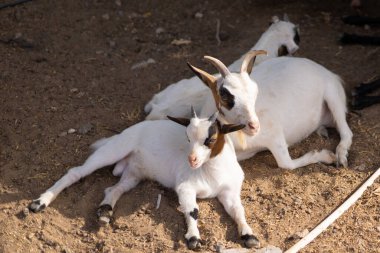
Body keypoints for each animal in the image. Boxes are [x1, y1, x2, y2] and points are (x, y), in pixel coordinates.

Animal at [29, 110, 260, 249]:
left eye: (210, 139)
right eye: (187, 138)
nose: (191, 159)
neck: (212, 174)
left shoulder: (230, 191)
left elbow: (239, 211)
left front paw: (249, 235)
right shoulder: (185, 187)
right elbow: (192, 211)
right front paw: (193, 238)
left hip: (134, 174)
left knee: (114, 188)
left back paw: (105, 211)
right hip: (114, 150)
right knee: (76, 172)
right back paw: (39, 203)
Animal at [143, 51, 354, 170]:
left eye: (255, 91)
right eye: (225, 94)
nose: (254, 126)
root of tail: (324, 70)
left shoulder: (276, 138)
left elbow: (286, 165)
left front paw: (325, 156)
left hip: (333, 96)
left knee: (346, 131)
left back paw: (340, 156)